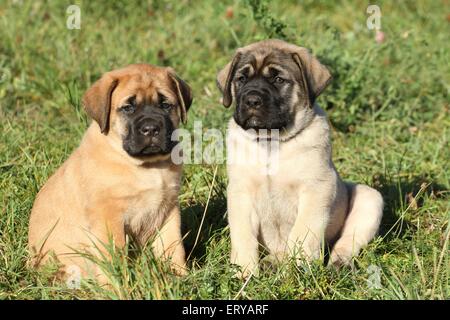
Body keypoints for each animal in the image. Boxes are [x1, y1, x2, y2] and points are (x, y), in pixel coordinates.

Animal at [28, 64, 192, 280]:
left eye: (165, 105)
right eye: (128, 108)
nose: (151, 129)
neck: (147, 166)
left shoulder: (168, 209)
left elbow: (173, 247)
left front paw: (180, 277)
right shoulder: (109, 217)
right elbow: (115, 256)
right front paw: (120, 283)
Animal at [217, 40, 384, 276]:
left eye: (278, 79)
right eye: (241, 79)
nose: (251, 100)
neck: (271, 142)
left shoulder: (317, 188)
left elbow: (302, 232)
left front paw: (299, 267)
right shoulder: (241, 192)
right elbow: (243, 236)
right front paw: (243, 271)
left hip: (369, 198)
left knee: (346, 242)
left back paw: (338, 264)